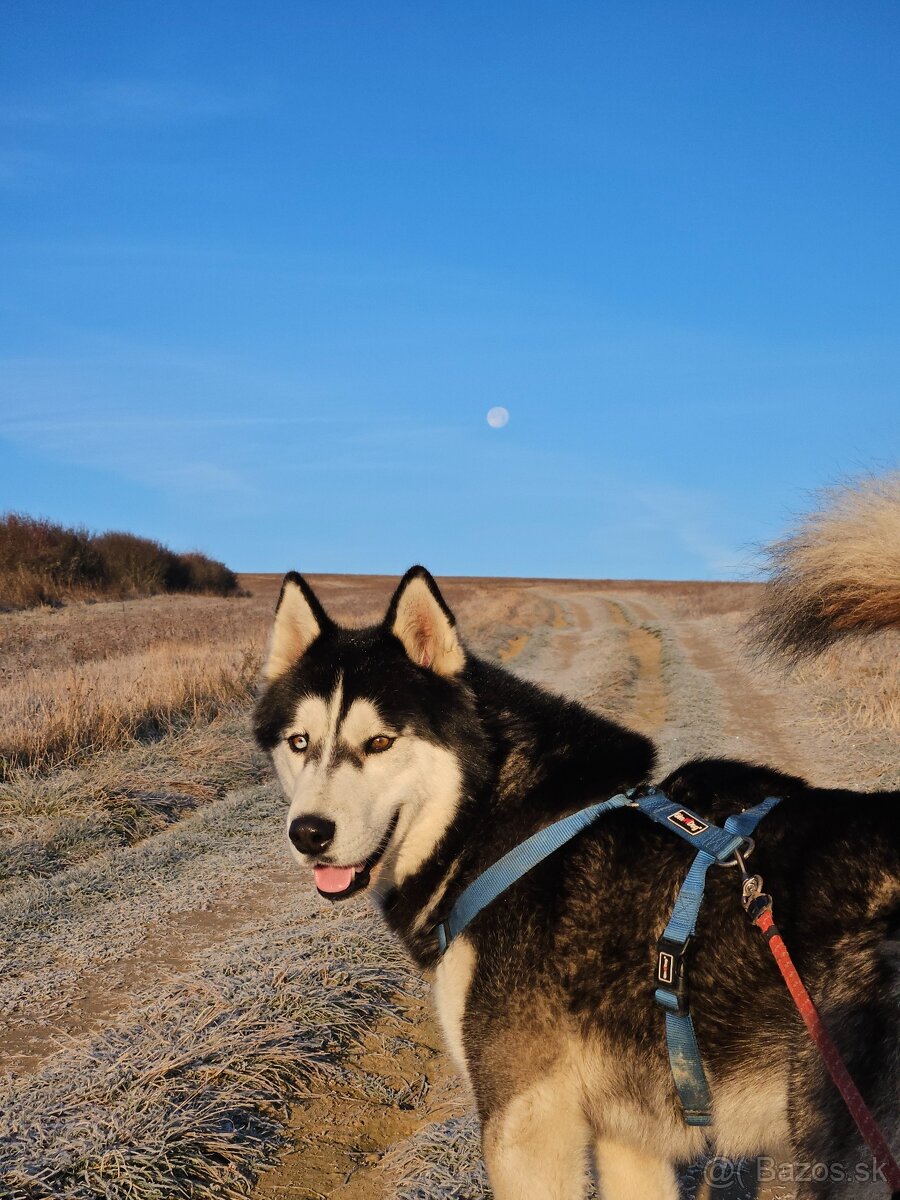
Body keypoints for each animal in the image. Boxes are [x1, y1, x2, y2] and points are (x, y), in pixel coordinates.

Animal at [255, 566, 900, 1195]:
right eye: (299, 742)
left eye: (381, 742)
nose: (308, 833)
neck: (497, 823)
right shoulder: (629, 1135)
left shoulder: (526, 1122)